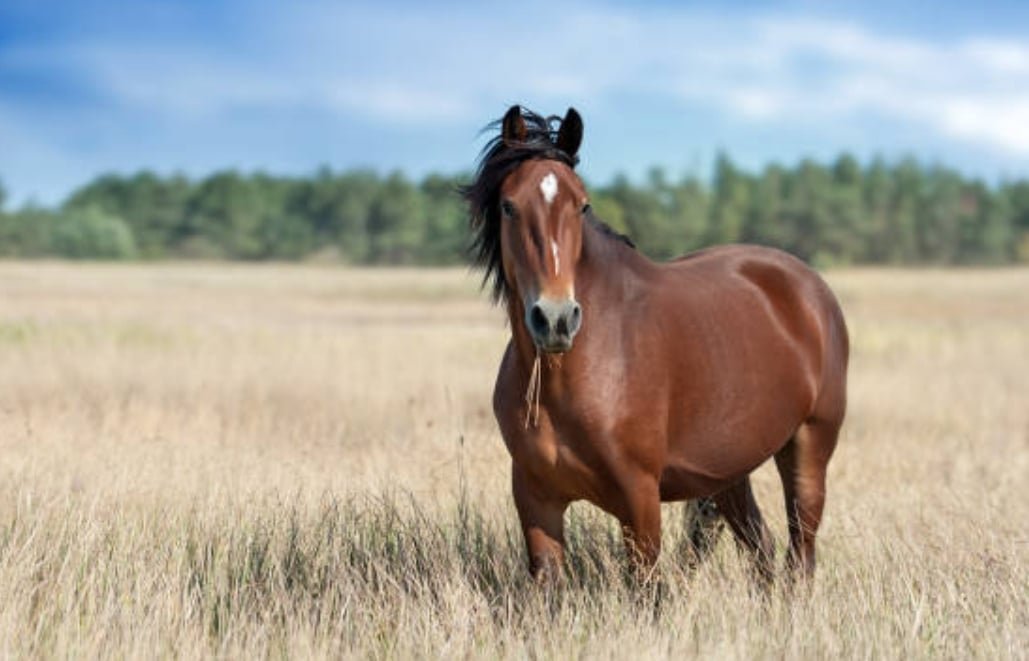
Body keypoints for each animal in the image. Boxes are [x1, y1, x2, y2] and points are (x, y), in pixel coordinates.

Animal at [463, 106, 849, 582]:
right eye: (509, 206)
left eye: (582, 204)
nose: (555, 319)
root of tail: (810, 286)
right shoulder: (537, 499)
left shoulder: (639, 498)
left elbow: (646, 588)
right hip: (729, 471)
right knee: (761, 548)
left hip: (809, 447)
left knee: (800, 553)